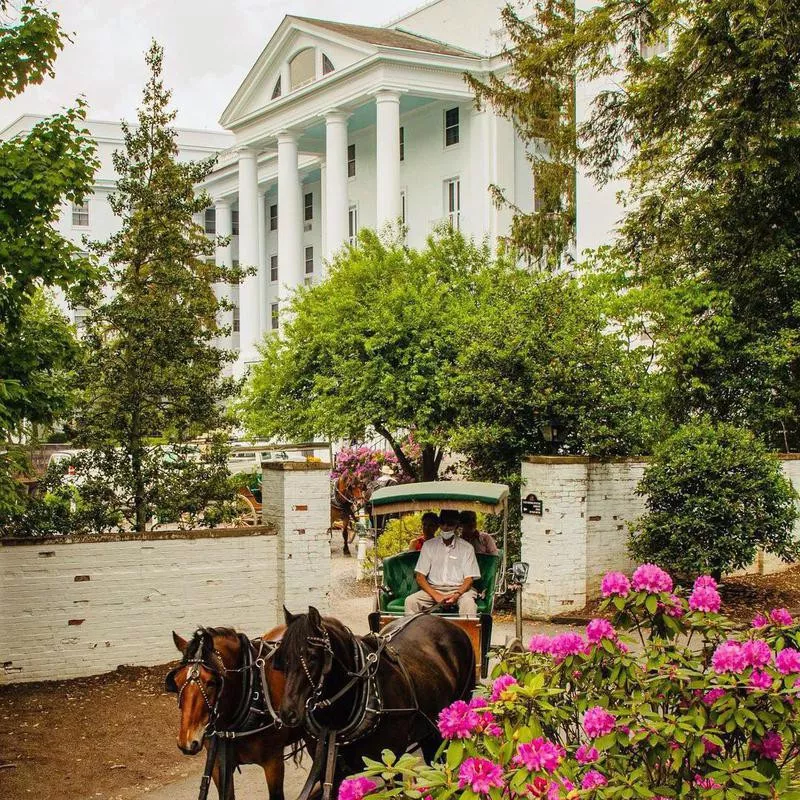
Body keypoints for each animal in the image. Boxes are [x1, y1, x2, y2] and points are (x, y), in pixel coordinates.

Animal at [276, 608, 476, 792]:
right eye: (281, 656)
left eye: (312, 656)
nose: (288, 713)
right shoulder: (331, 772)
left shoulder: (391, 766)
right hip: (429, 730)